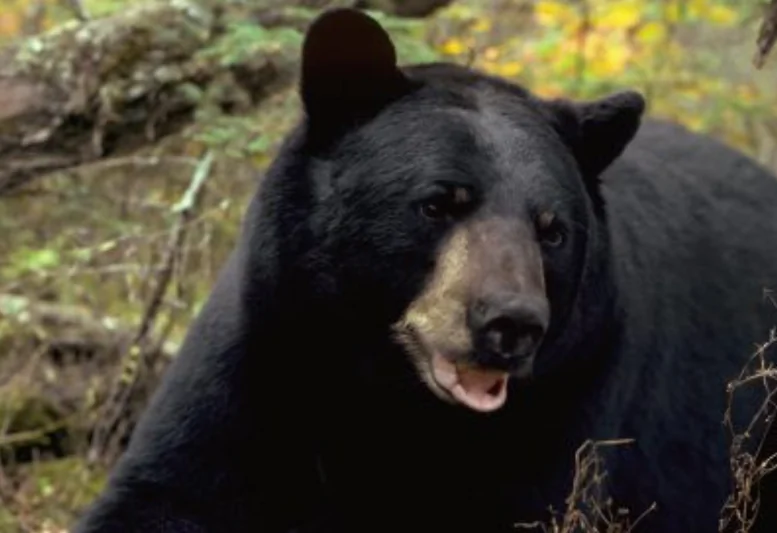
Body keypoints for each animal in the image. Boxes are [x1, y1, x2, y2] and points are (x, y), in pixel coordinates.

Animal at [72, 7, 777, 533]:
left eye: (552, 230)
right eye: (438, 202)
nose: (511, 324)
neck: (387, 396)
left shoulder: (573, 395)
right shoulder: (266, 348)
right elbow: (170, 490)